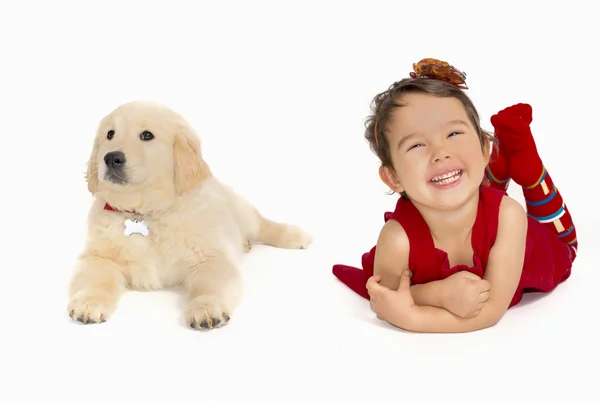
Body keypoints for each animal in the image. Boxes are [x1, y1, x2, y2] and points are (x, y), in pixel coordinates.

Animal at [68, 99, 312, 328]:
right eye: (110, 134)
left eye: (147, 135)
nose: (111, 158)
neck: (146, 213)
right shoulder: (98, 256)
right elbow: (94, 279)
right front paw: (88, 303)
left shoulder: (211, 258)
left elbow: (207, 286)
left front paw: (206, 308)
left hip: (242, 211)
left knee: (263, 225)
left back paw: (295, 235)